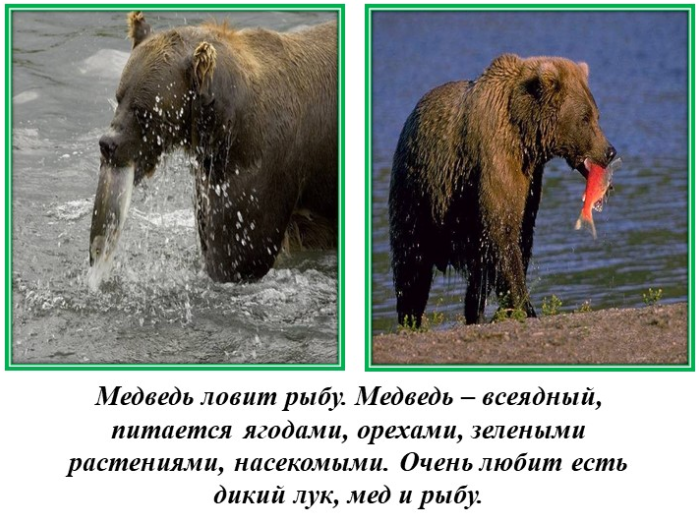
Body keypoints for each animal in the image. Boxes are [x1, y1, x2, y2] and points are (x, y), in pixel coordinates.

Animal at [89, 12, 337, 284]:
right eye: (119, 97)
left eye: (143, 111)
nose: (108, 144)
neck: (224, 127)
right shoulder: (211, 176)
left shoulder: (260, 167)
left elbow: (240, 252)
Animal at [389, 54, 616, 327]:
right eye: (585, 118)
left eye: (596, 115)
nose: (610, 151)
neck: (525, 134)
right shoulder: (496, 156)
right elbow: (503, 229)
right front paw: (524, 307)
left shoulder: (530, 178)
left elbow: (521, 233)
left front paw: (508, 307)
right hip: (417, 194)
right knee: (411, 263)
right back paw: (410, 319)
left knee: (476, 275)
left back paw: (473, 314)